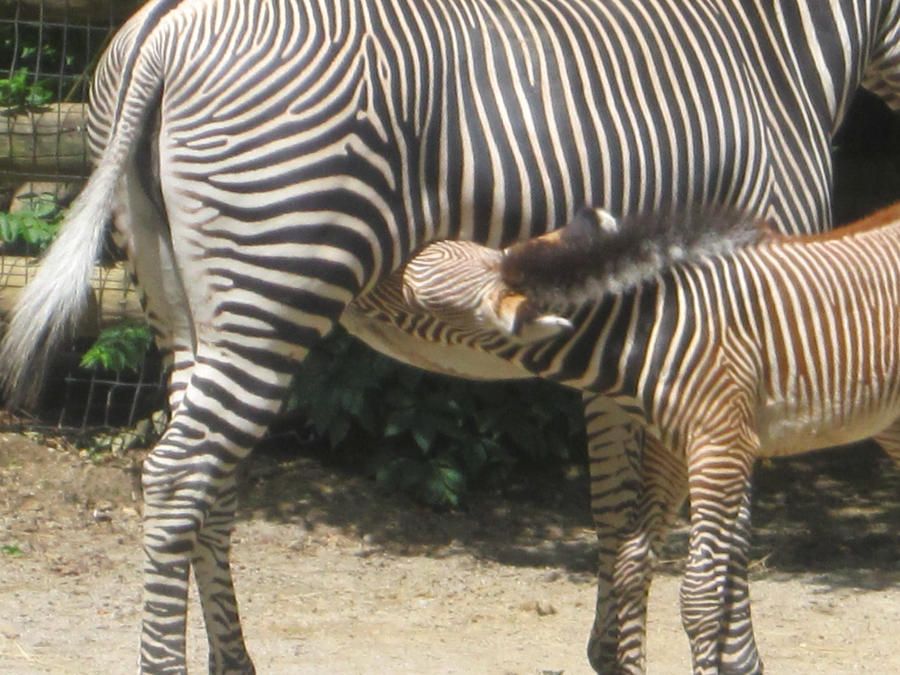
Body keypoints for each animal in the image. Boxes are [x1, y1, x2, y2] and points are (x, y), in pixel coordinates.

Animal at [346, 206, 900, 675]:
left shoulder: (721, 445)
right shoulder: (672, 448)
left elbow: (701, 596)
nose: (351, 290)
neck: (651, 334)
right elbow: (632, 563)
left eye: (413, 297)